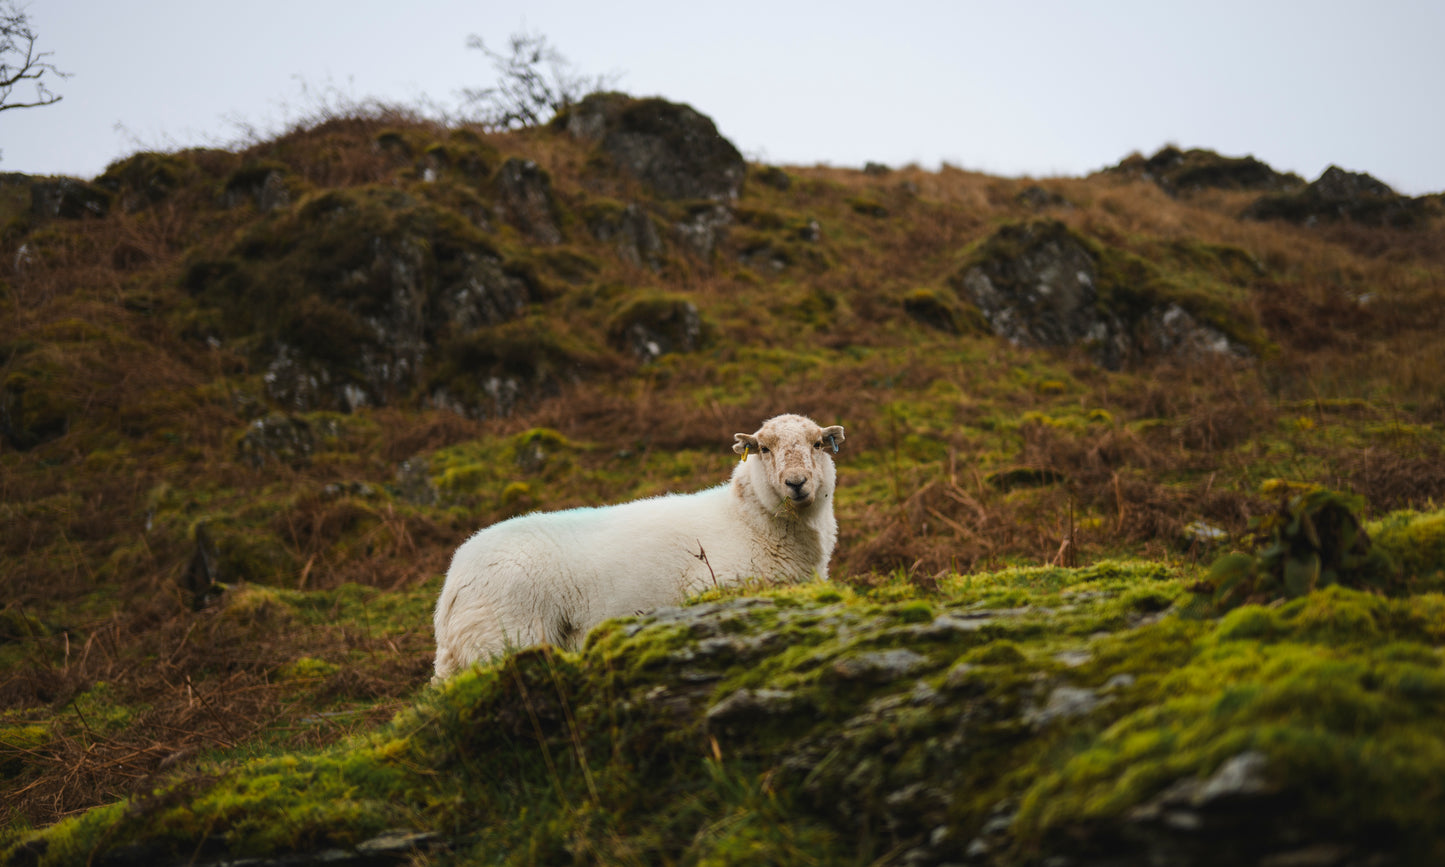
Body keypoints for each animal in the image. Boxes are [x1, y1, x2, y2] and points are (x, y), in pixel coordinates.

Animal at [432, 413, 846, 681]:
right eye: (763, 449)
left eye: (817, 444)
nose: (796, 483)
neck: (746, 520)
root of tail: (453, 581)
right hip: (503, 639)